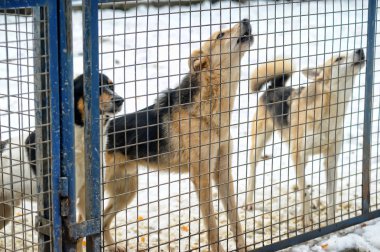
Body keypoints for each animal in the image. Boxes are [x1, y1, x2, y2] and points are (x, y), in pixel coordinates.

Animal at [102, 18, 254, 251]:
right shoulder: (201, 176)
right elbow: (212, 227)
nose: (246, 20)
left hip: (127, 191)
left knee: (103, 220)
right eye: (220, 35)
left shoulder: (222, 172)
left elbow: (235, 221)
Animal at [246, 48, 366, 225]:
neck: (328, 114)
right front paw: (307, 221)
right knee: (253, 172)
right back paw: (249, 202)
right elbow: (304, 192)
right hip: (259, 143)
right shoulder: (298, 155)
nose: (360, 50)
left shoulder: (330, 159)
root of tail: (275, 87)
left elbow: (331, 197)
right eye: (338, 58)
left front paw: (331, 222)